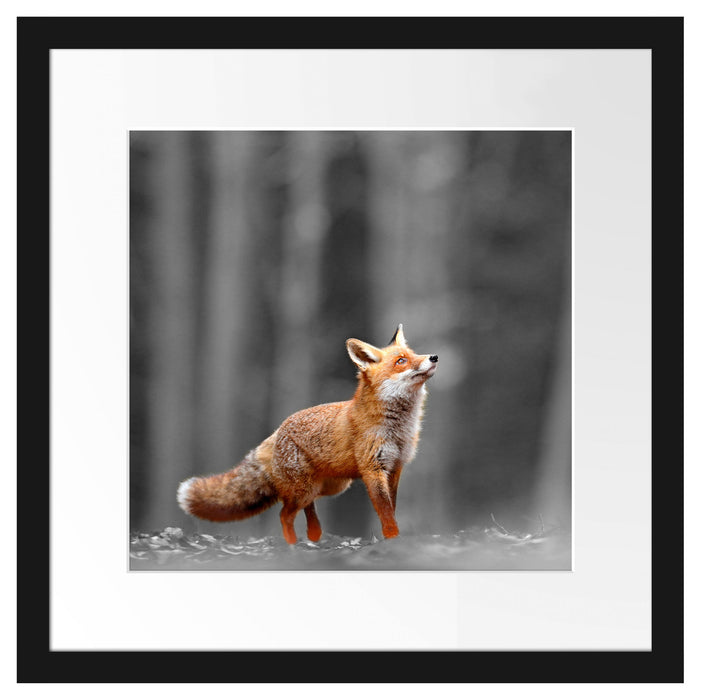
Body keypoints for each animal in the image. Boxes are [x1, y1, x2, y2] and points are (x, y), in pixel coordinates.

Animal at [177, 324, 438, 544]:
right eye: (401, 361)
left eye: (414, 354)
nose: (433, 357)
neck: (398, 429)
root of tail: (277, 430)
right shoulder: (373, 469)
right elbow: (385, 513)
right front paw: (393, 539)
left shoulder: (395, 468)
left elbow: (391, 509)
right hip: (305, 489)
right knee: (284, 514)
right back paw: (293, 546)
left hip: (328, 487)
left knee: (308, 512)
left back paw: (314, 538)